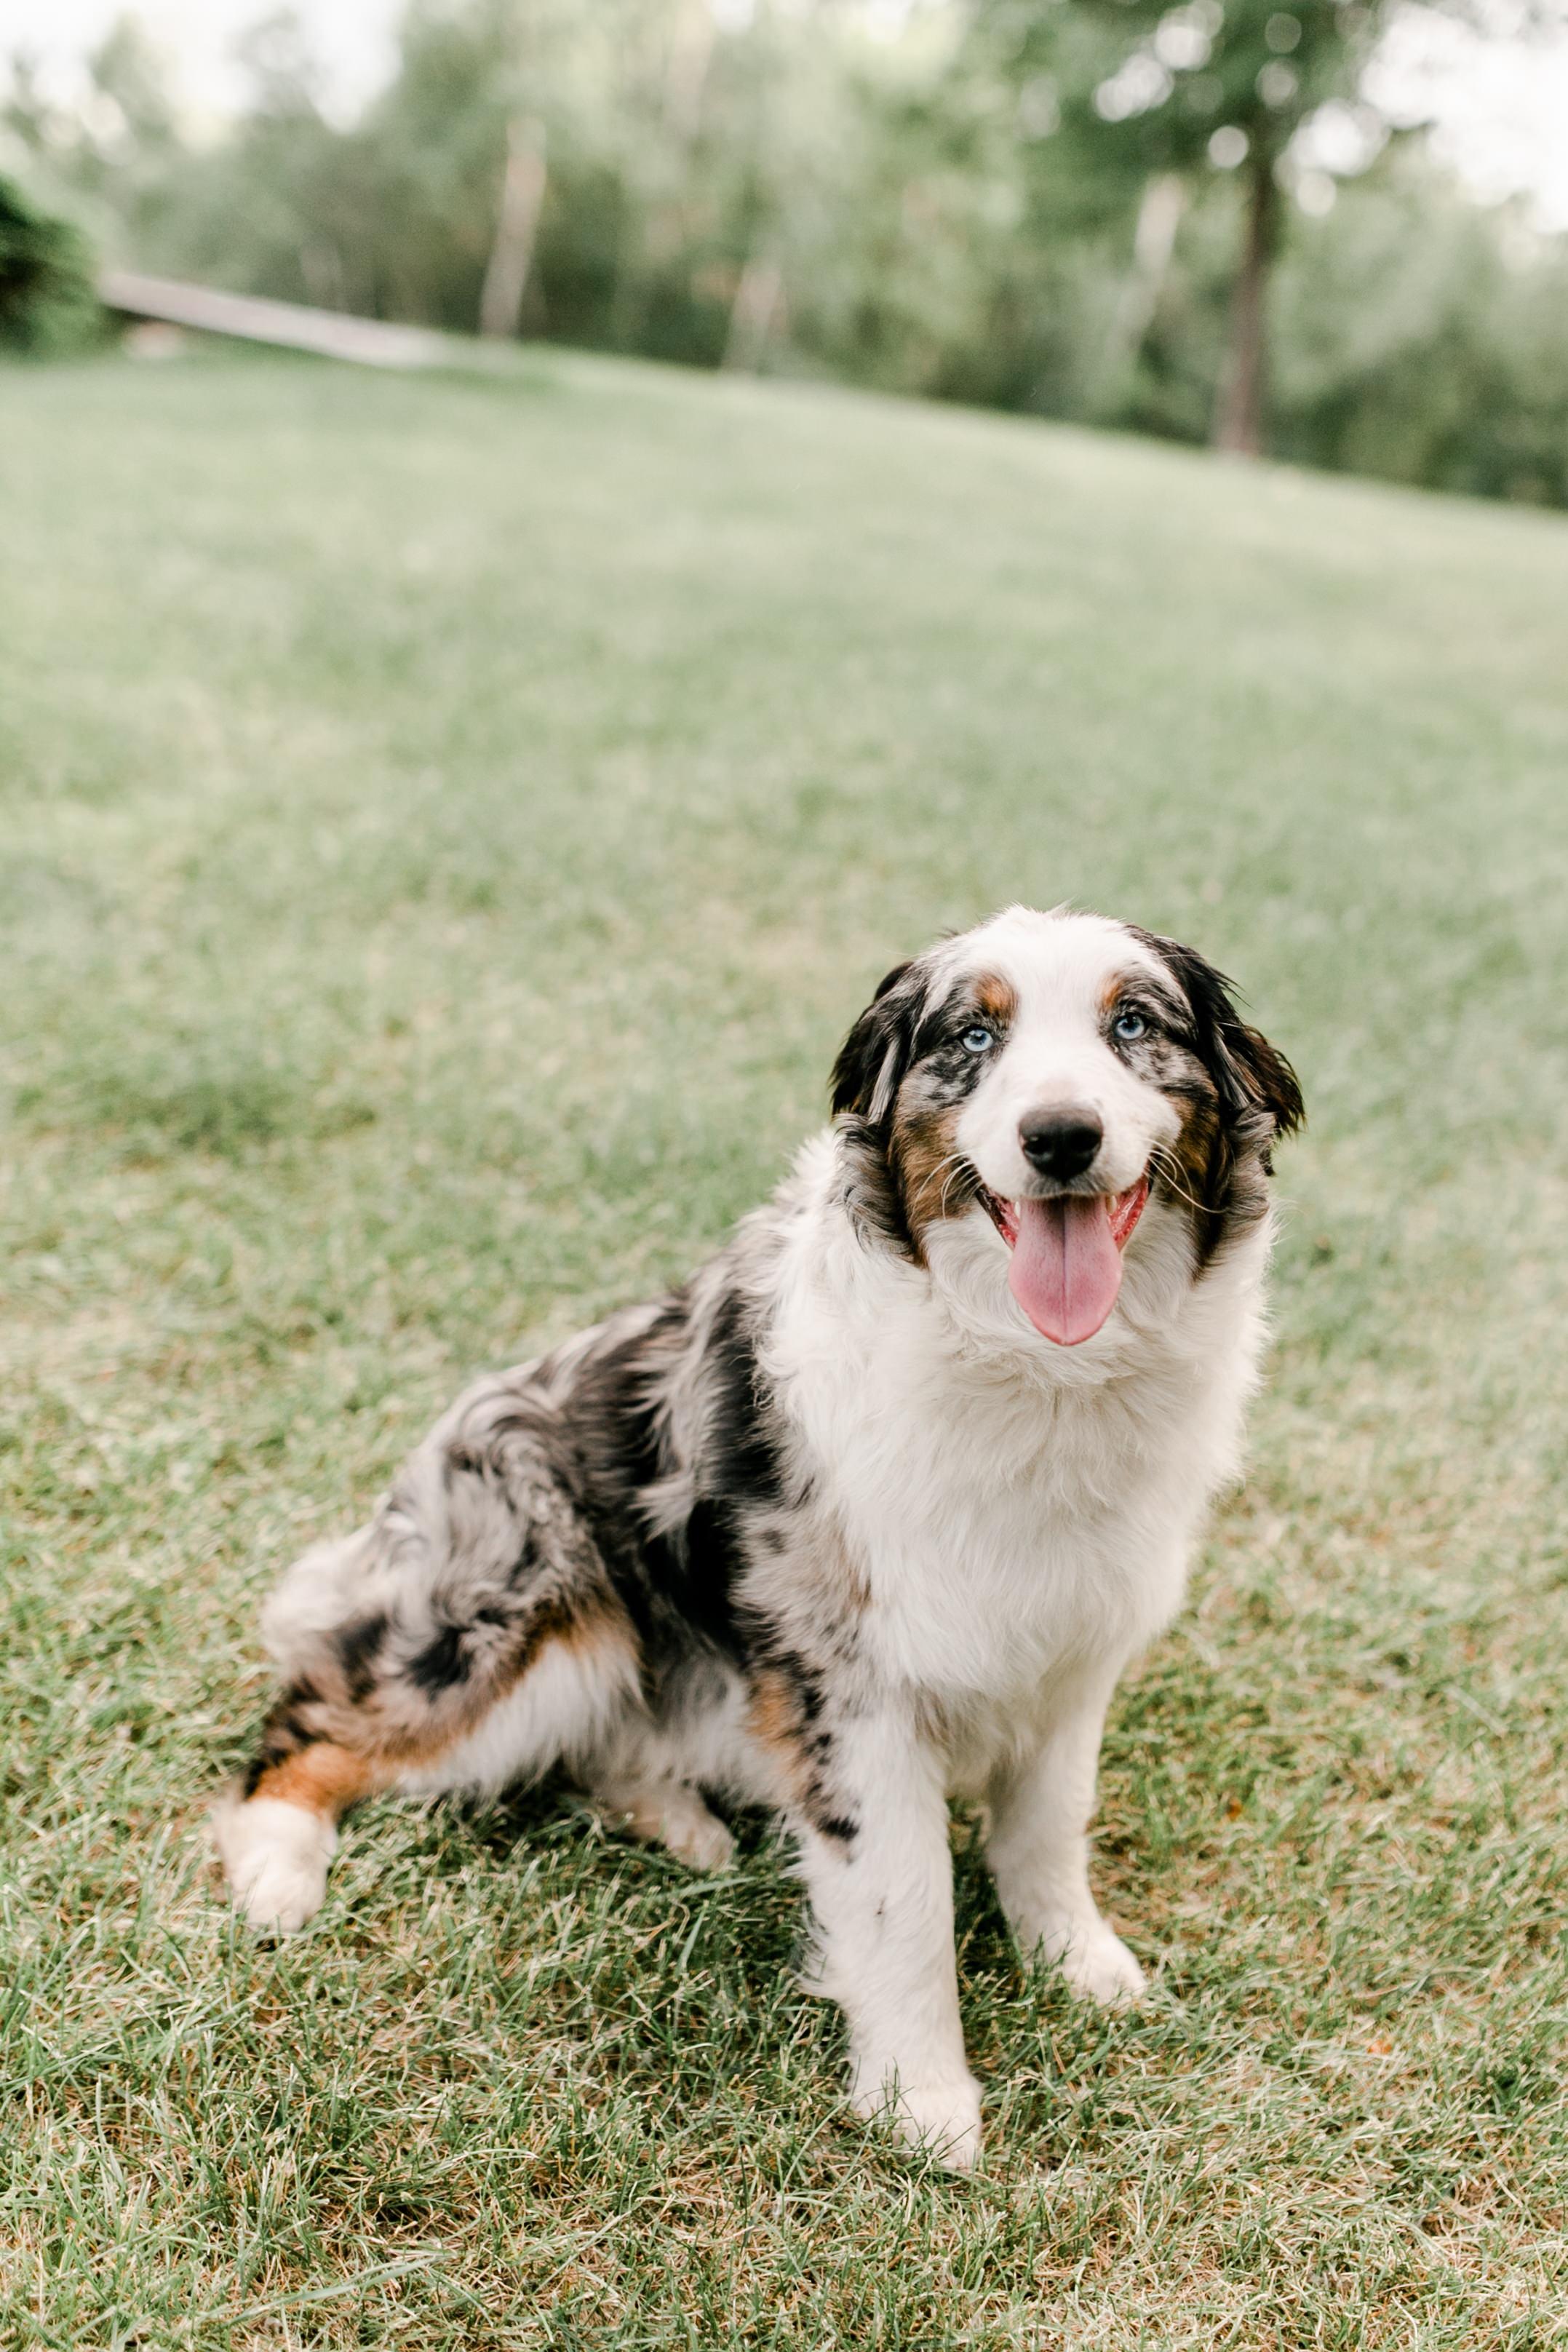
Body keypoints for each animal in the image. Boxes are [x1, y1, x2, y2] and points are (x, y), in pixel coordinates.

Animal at [215, 904, 1302, 2169]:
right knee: (312, 1723)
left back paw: (684, 1824)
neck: (1035, 1371)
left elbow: (1045, 1830)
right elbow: (903, 1899)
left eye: (1131, 1025)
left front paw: (1076, 1965)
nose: (1060, 1138)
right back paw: (277, 1871)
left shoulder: (1070, 1649)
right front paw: (921, 2104)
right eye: (971, 1038)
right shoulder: (849, 1684)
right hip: (531, 1623)